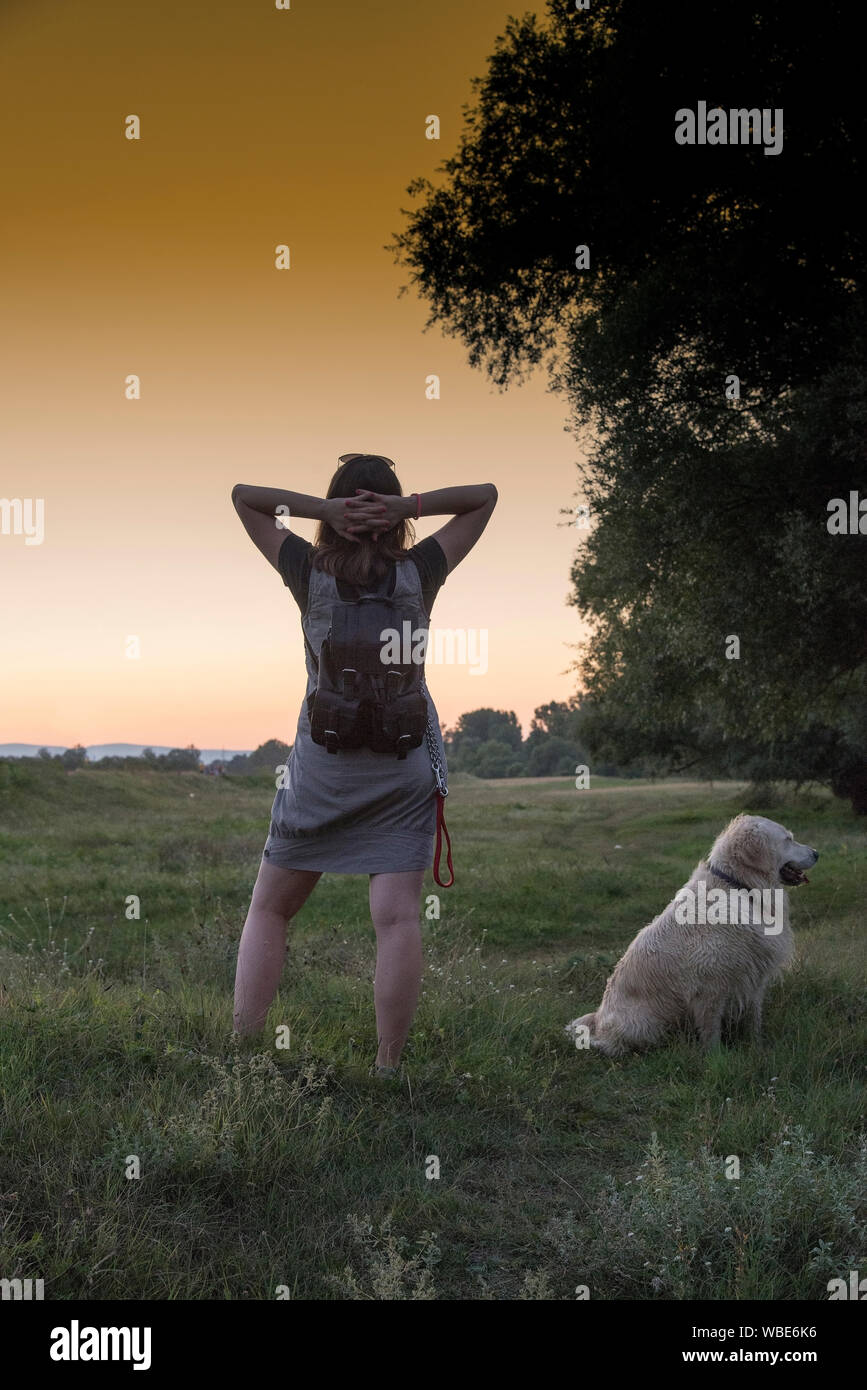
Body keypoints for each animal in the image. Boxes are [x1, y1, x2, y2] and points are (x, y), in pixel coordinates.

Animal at [569, 811, 816, 1050]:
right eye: (788, 839)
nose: (817, 853)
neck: (737, 886)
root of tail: (598, 1022)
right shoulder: (710, 987)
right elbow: (711, 1030)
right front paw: (716, 1056)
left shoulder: (754, 977)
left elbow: (753, 1018)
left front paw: (757, 1046)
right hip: (645, 1024)